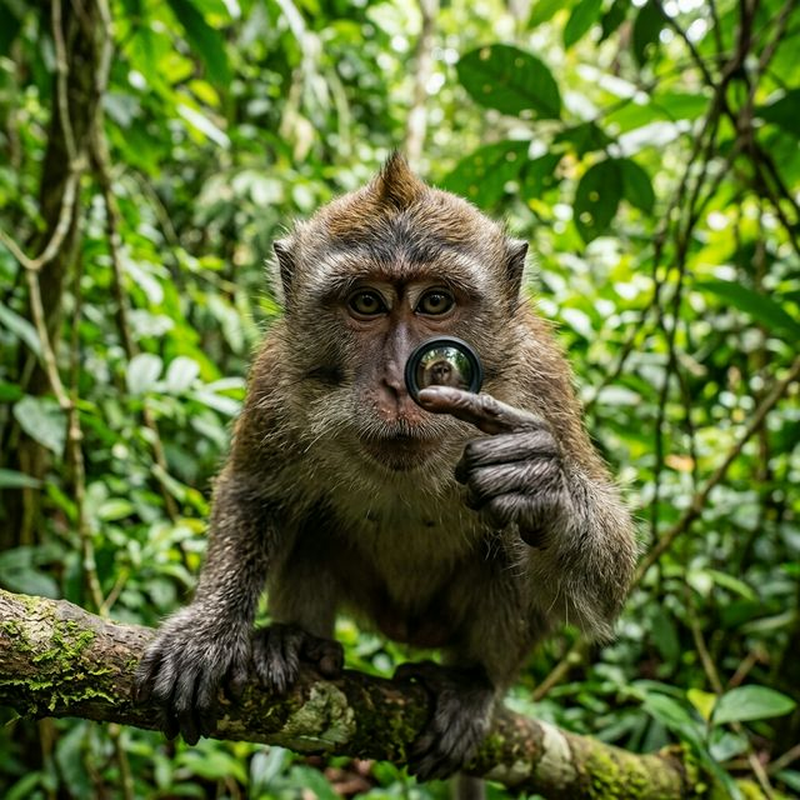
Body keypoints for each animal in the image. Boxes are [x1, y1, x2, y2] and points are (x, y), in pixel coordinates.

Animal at [134, 154, 637, 783]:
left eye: (436, 303)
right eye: (367, 303)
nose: (401, 380)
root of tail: (407, 631)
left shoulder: (542, 382)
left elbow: (608, 576)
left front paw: (546, 483)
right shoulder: (278, 378)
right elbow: (255, 493)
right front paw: (209, 630)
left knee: (511, 552)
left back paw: (474, 682)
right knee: (310, 527)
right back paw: (299, 644)